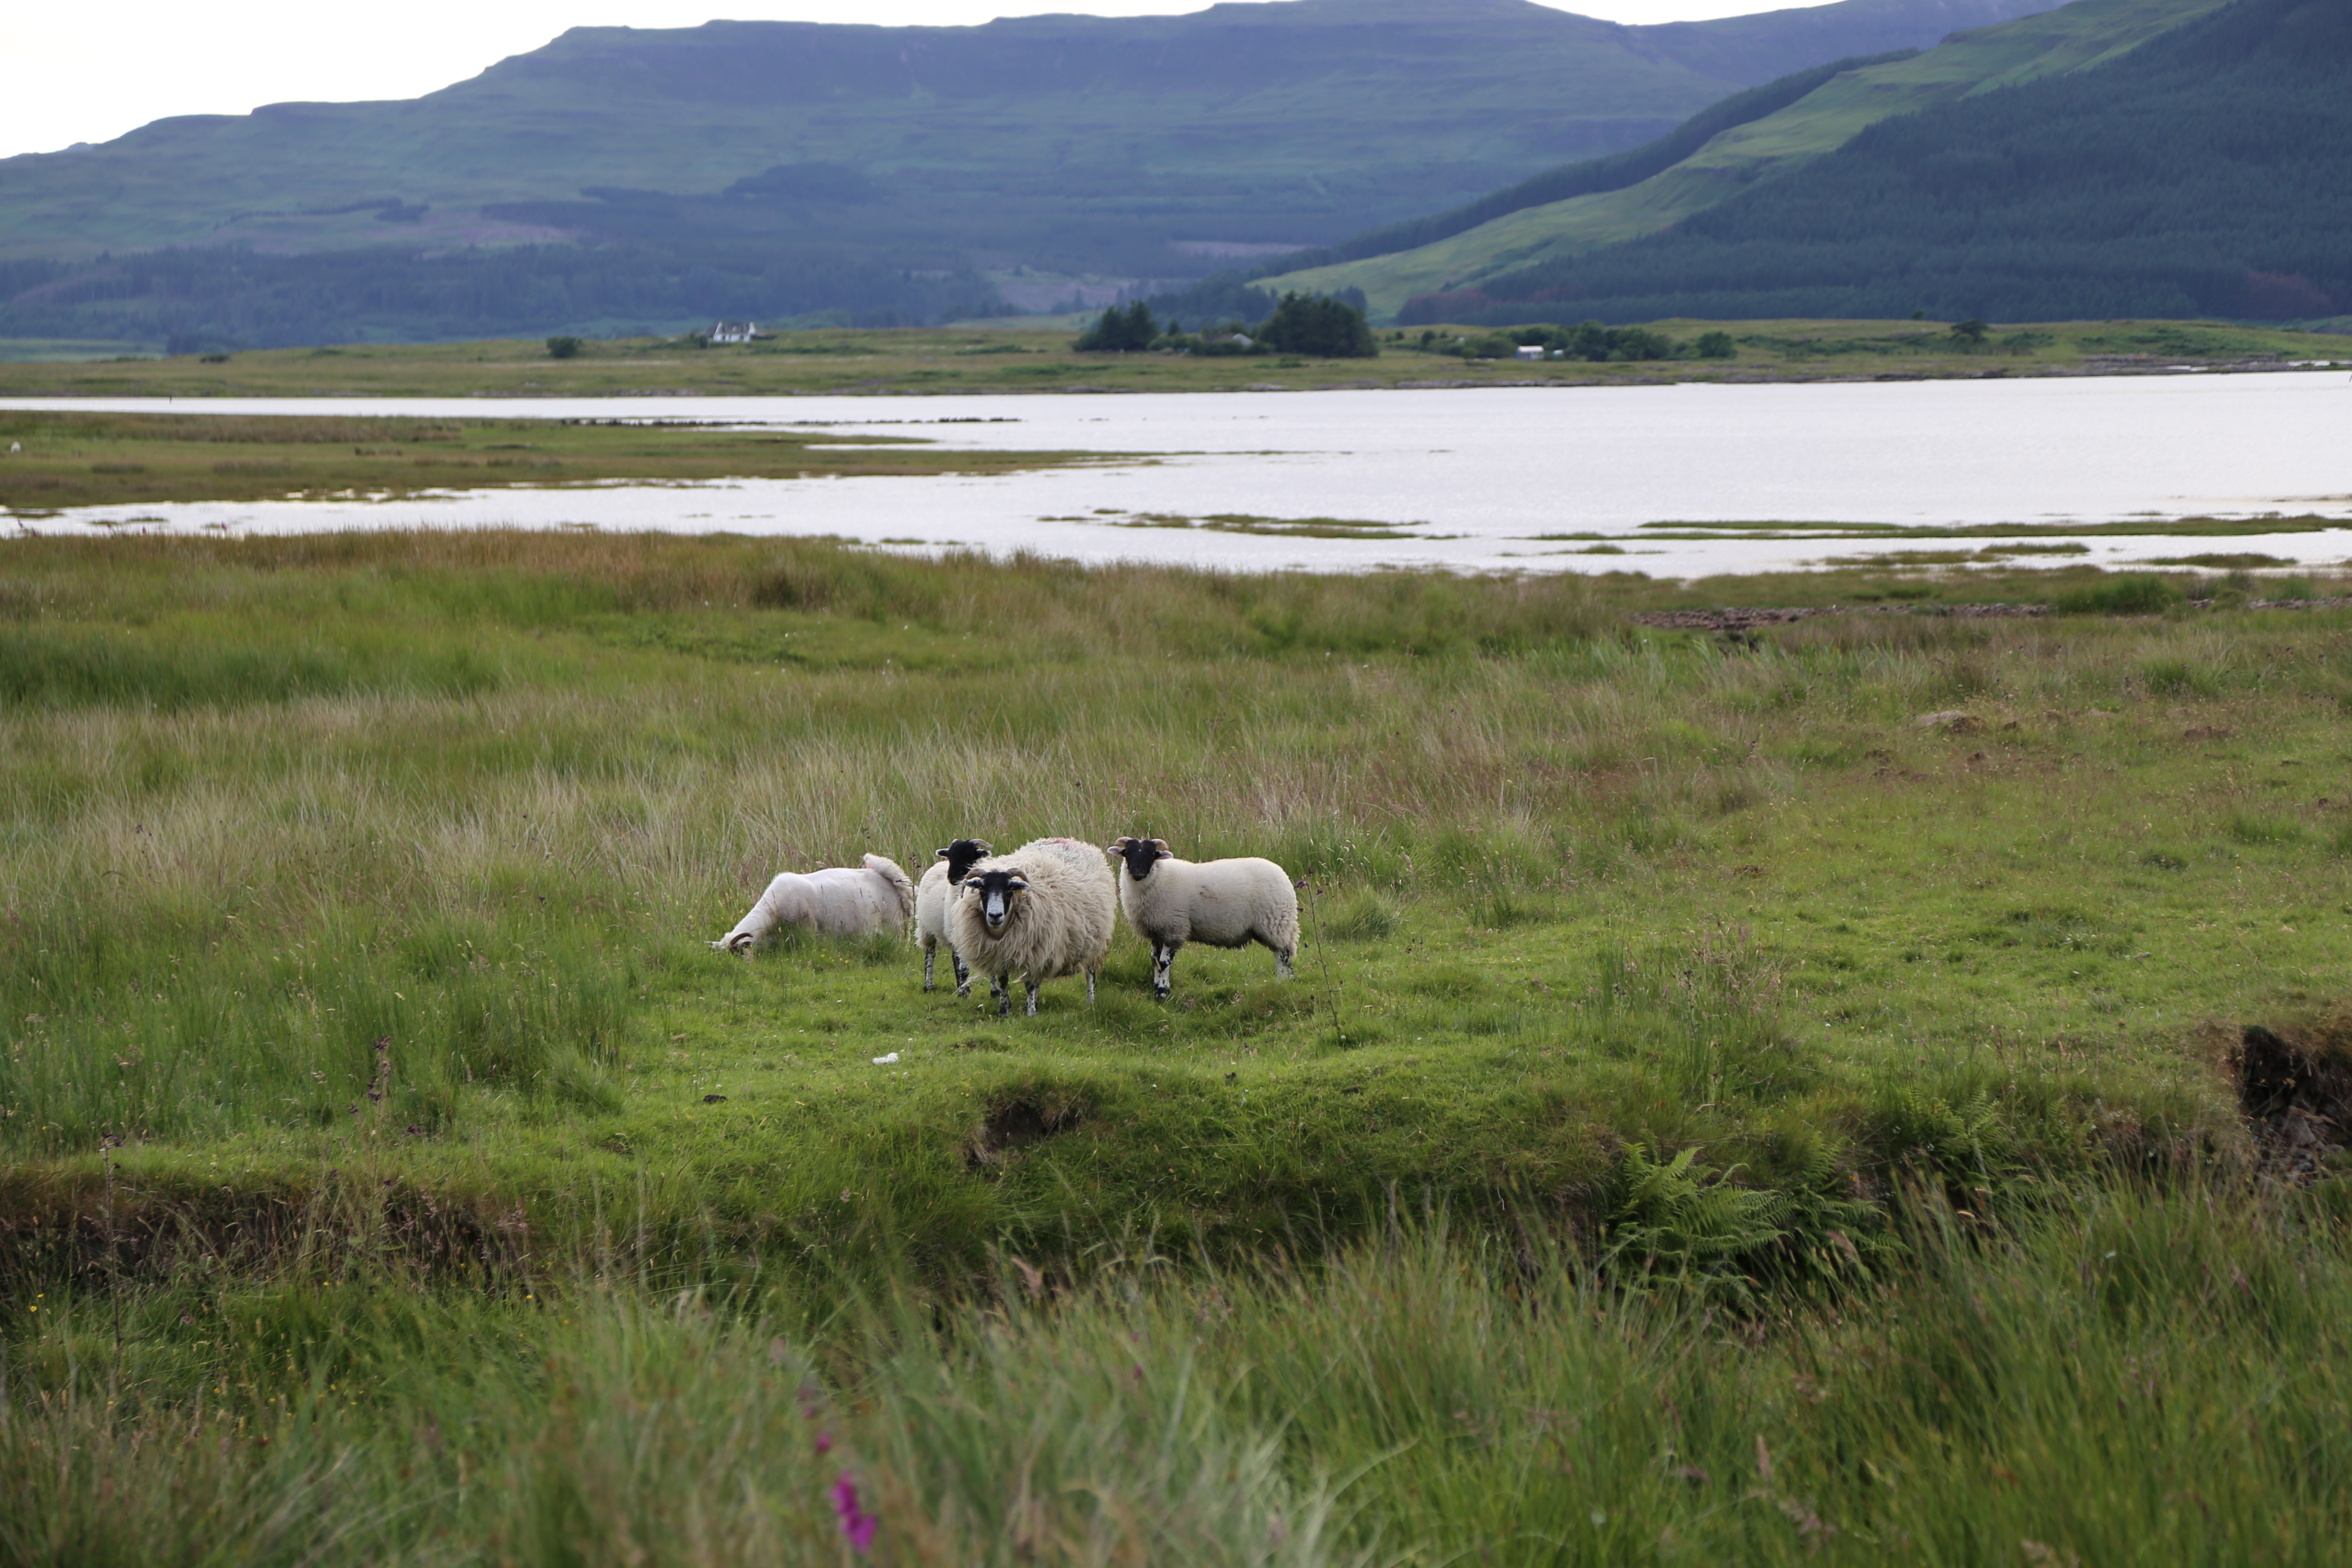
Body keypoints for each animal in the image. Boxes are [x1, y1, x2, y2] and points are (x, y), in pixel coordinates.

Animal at [908, 832, 992, 992]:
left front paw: (995, 991)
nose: (952, 877)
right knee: (931, 955)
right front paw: (964, 992)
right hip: (927, 928)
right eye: (950, 857)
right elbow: (962, 965)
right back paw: (930, 986)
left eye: (969, 856)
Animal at [940, 832, 1115, 1020]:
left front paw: (1031, 1013)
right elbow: (1004, 982)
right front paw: (1004, 1011)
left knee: (1090, 973)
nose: (995, 916)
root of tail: (1072, 841)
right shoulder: (1001, 952)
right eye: (982, 890)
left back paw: (1090, 1002)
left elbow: (1030, 984)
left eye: (1009, 890)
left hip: (1094, 941)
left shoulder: (1033, 949)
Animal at [1105, 832, 1298, 1006]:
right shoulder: (1156, 931)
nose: (1137, 872)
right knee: (1280, 954)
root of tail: (1283, 875)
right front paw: (1158, 986)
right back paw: (1285, 983)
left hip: (1276, 922)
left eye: (1152, 855)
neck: (1159, 878)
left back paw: (1284, 983)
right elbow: (1155, 960)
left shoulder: (1173, 930)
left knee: (1284, 955)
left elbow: (1164, 963)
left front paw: (1162, 993)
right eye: (1127, 853)